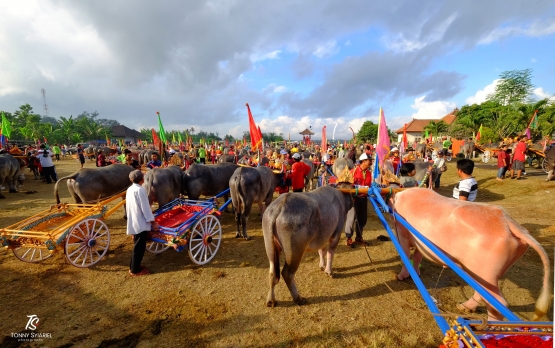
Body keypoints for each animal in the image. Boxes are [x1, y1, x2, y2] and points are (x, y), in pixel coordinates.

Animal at [394, 188, 548, 320]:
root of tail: (508, 223)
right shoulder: (419, 242)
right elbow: (417, 257)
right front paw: (416, 272)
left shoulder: (402, 233)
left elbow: (405, 255)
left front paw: (401, 277)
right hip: (486, 274)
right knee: (482, 293)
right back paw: (464, 307)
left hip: (485, 271)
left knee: (499, 304)